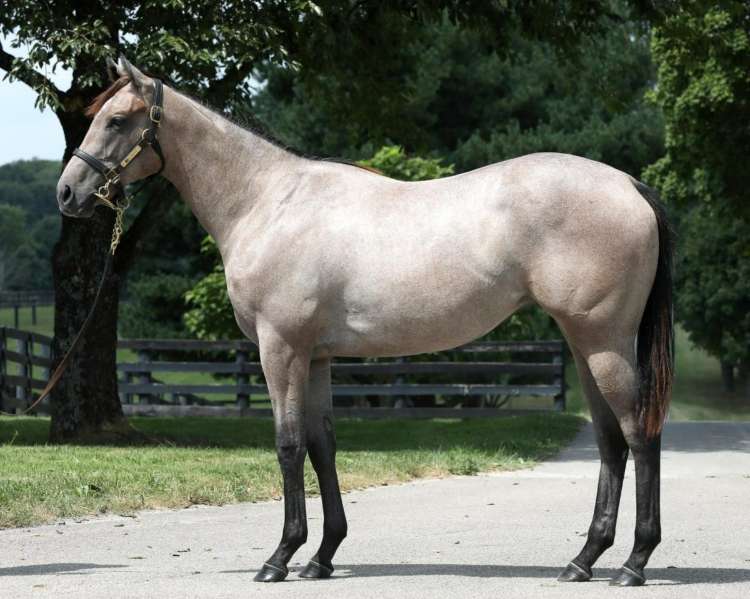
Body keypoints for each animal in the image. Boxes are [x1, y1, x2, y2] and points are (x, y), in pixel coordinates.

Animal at [56, 57, 673, 587]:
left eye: (116, 120)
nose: (67, 192)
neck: (268, 202)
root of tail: (628, 185)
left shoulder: (280, 349)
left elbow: (287, 445)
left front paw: (280, 557)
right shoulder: (317, 357)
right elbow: (323, 445)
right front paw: (322, 556)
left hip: (604, 343)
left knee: (639, 434)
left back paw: (633, 562)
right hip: (585, 344)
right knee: (610, 442)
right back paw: (584, 559)